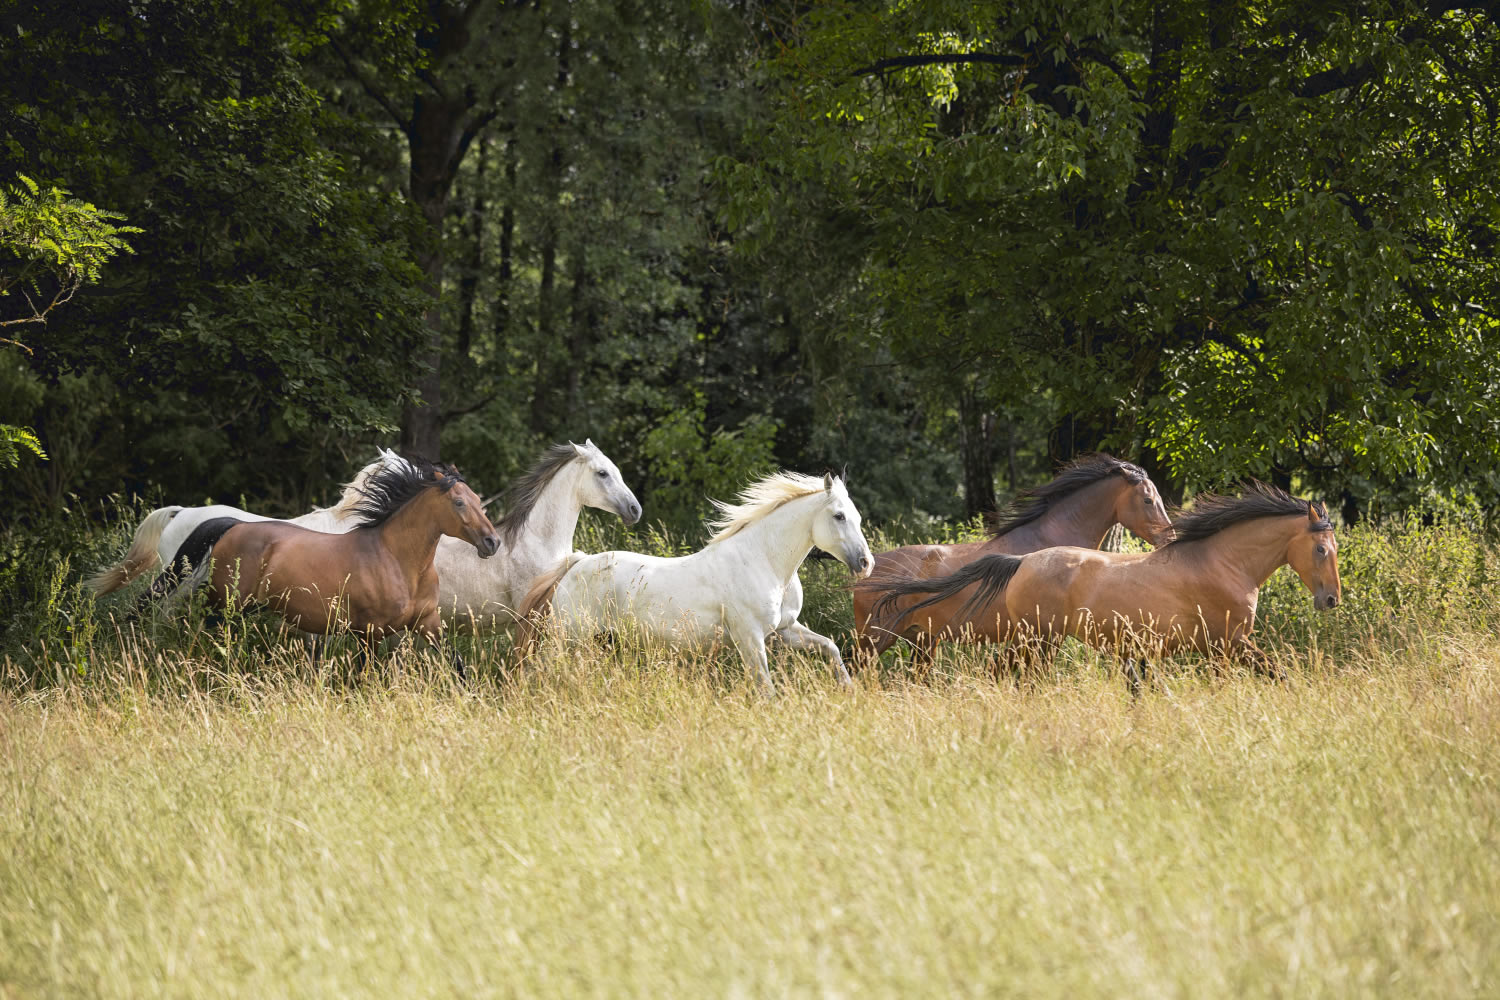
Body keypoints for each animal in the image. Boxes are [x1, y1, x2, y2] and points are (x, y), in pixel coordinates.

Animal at [159, 459, 501, 670]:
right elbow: (366, 674)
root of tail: (233, 527)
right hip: (224, 604)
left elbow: (456, 664)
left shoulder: (427, 623)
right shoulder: (370, 631)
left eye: (476, 498)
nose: (492, 542)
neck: (397, 559)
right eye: (459, 502)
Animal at [517, 472, 873, 695]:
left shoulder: (783, 631)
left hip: (593, 640)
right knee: (541, 670)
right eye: (839, 516)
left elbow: (830, 646)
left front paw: (848, 689)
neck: (764, 562)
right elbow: (765, 687)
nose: (866, 564)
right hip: (566, 638)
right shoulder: (750, 638)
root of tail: (575, 565)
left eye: (856, 516)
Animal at [865, 481, 1339, 680]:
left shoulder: (1218, 649)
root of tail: (1021, 562)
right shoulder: (1230, 645)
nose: (1331, 600)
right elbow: (1276, 676)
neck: (1221, 562)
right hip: (1032, 640)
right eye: (1321, 549)